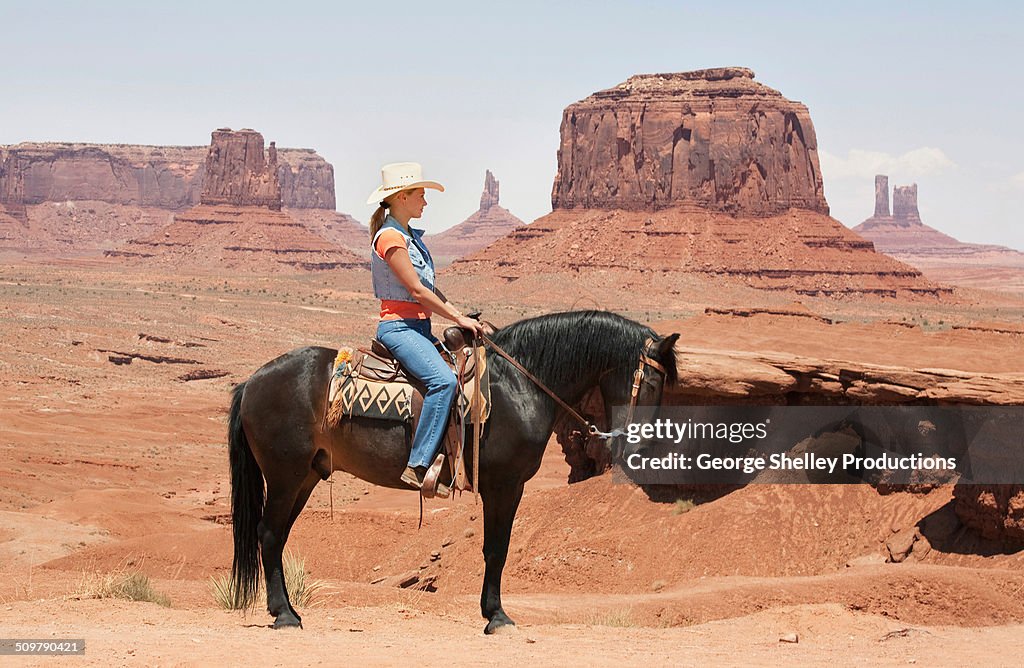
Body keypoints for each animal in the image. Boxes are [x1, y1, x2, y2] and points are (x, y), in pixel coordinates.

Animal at [232, 311, 679, 635]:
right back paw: (285, 616)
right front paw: (496, 616)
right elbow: (496, 549)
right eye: (652, 382)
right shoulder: (505, 485)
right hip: (285, 475)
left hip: (305, 476)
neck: (519, 383)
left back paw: (285, 611)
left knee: (275, 537)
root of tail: (251, 381)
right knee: (269, 534)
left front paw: (491, 612)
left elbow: (495, 549)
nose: (641, 447)